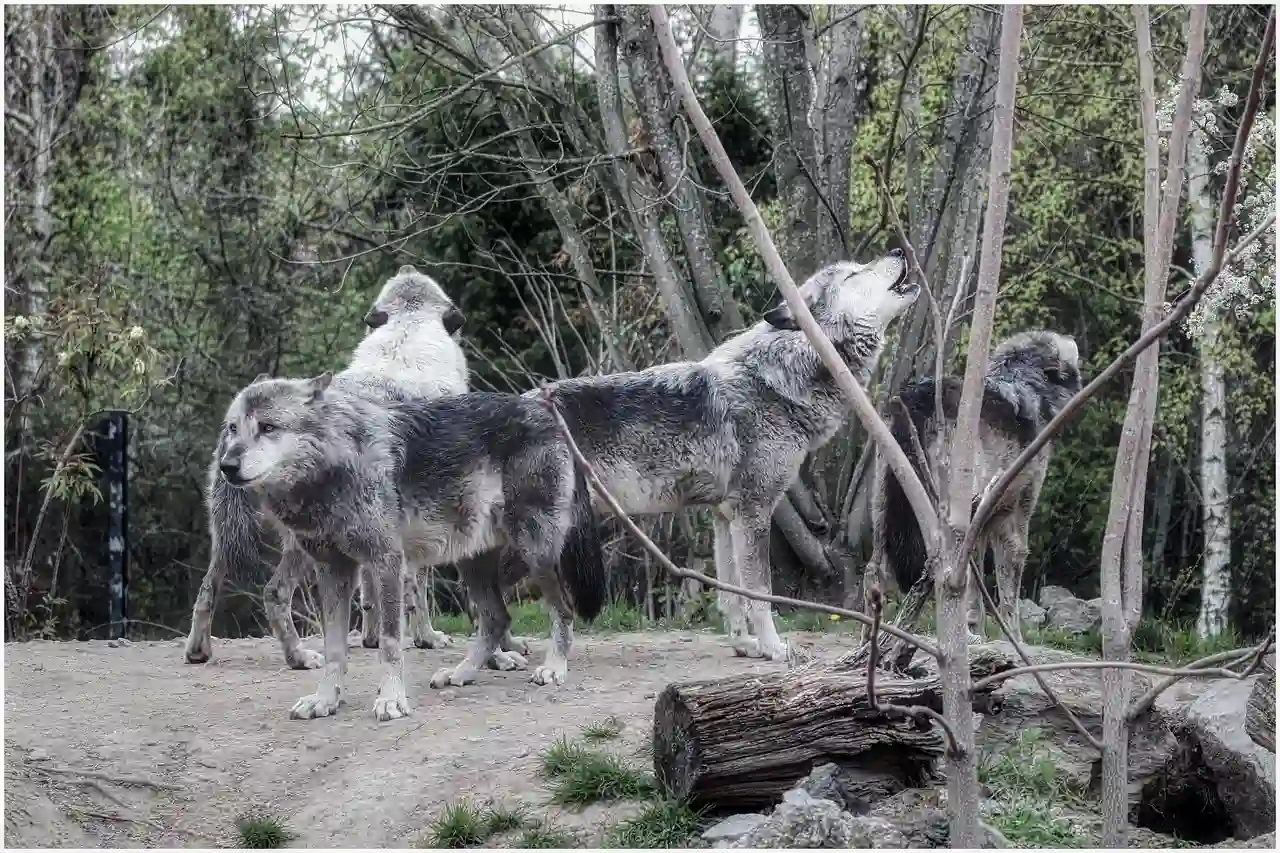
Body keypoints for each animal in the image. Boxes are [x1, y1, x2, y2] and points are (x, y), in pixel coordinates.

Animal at [183, 265, 472, 670]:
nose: (407, 266)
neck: (407, 339)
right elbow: (417, 591)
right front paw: (426, 638)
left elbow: (372, 593)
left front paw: (372, 638)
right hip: (302, 545)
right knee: (274, 592)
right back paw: (299, 657)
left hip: (228, 537)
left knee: (208, 587)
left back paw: (199, 650)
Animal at [214, 374, 606, 719]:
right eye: (232, 428)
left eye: (268, 427)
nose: (226, 465)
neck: (335, 468)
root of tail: (549, 417)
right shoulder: (334, 571)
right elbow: (335, 649)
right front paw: (325, 701)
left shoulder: (386, 562)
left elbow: (389, 643)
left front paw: (391, 700)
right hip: (472, 563)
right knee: (497, 618)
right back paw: (461, 674)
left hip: (534, 553)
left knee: (563, 609)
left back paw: (554, 668)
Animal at [431, 251, 920, 689]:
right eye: (855, 274)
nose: (900, 250)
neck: (777, 378)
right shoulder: (753, 513)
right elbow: (760, 594)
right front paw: (774, 649)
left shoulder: (724, 516)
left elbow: (732, 593)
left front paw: (744, 646)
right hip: (536, 542)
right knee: (482, 603)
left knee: (484, 603)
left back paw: (486, 663)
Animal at [866, 330, 1082, 641]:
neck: (1025, 382)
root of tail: (917, 398)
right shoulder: (1012, 520)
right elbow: (1007, 595)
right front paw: (1013, 640)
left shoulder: (982, 524)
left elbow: (976, 595)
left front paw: (977, 632)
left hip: (883, 516)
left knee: (873, 573)